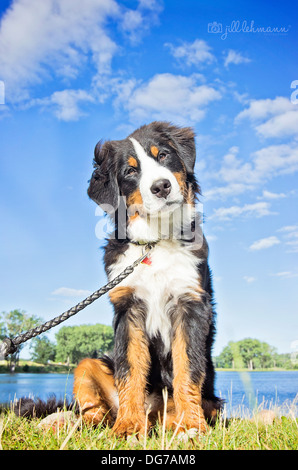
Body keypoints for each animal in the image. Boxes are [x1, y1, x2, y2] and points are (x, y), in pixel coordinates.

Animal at [72, 121, 221, 436]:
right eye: (130, 171)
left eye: (163, 155)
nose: (161, 186)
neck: (156, 242)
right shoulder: (128, 306)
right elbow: (130, 370)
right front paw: (128, 425)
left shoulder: (189, 304)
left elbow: (188, 368)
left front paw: (191, 424)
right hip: (90, 363)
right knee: (92, 396)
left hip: (212, 400)